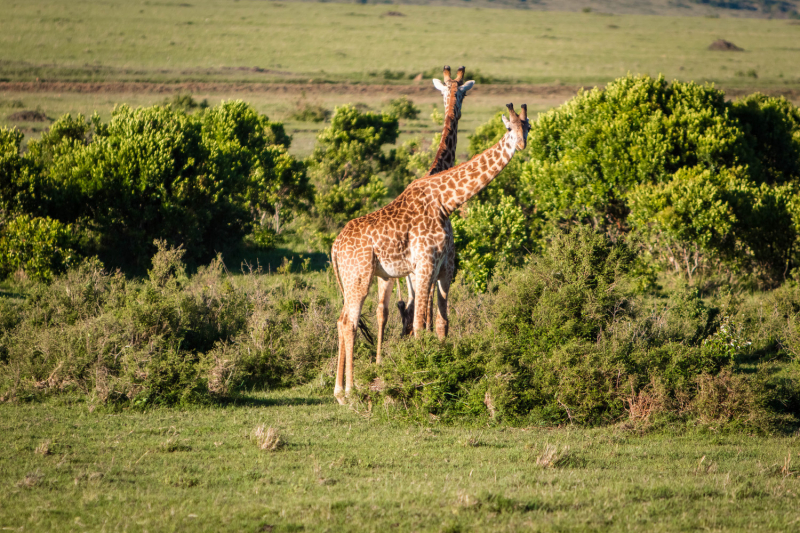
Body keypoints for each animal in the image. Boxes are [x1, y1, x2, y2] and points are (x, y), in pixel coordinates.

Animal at [328, 103, 528, 404]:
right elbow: (420, 325)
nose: (523, 146)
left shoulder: (442, 266)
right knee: (349, 323)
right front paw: (421, 375)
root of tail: (335, 245)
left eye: (528, 127)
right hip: (360, 276)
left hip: (352, 278)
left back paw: (339, 392)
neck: (446, 202)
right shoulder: (424, 264)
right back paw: (350, 391)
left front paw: (442, 368)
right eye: (509, 128)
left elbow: (439, 321)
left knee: (342, 321)